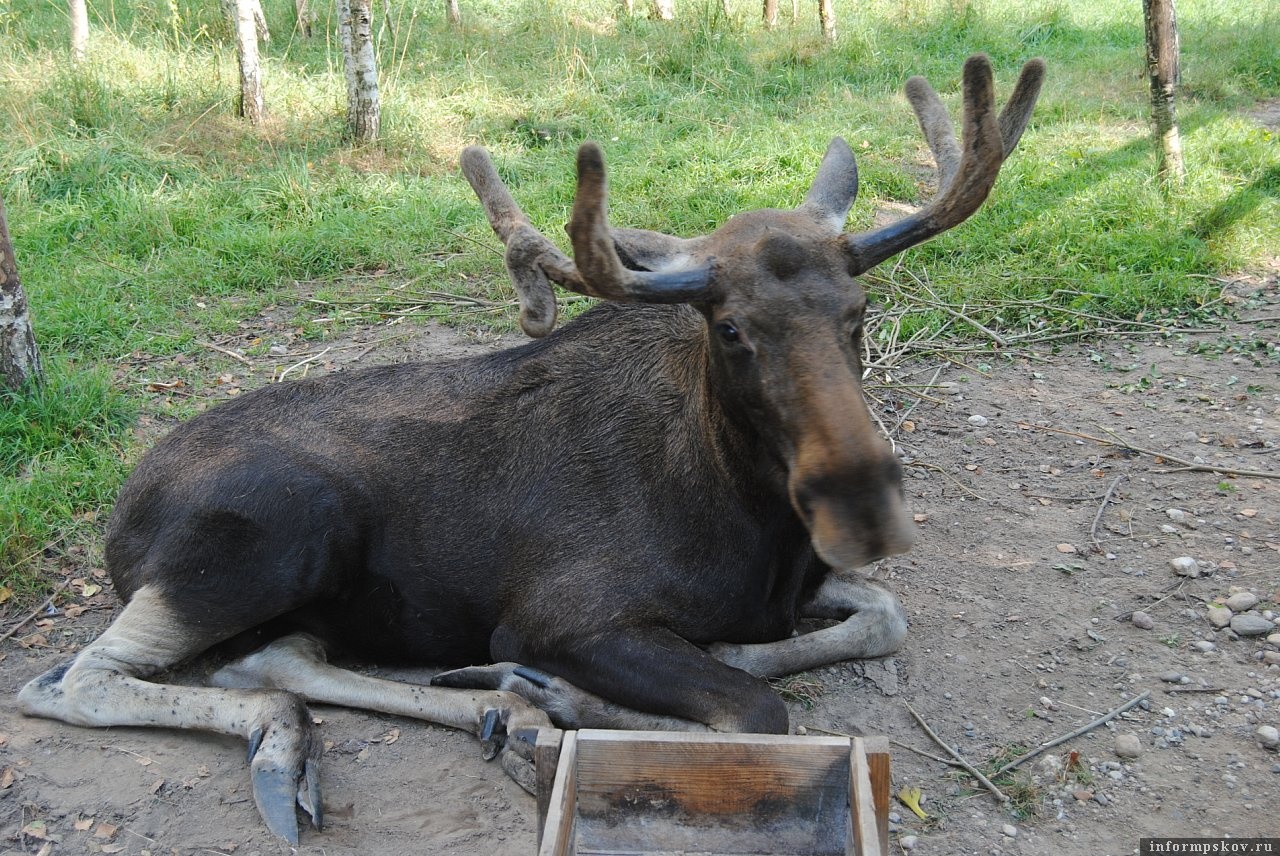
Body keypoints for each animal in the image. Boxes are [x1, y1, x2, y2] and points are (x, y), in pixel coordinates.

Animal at [17, 56, 1039, 844]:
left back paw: (455, 712)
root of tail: (118, 521)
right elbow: (754, 708)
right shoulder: (560, 616)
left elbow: (878, 616)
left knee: (269, 659)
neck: (755, 523)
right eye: (732, 330)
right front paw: (577, 695)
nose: (861, 501)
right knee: (71, 679)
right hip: (275, 532)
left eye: (859, 312)